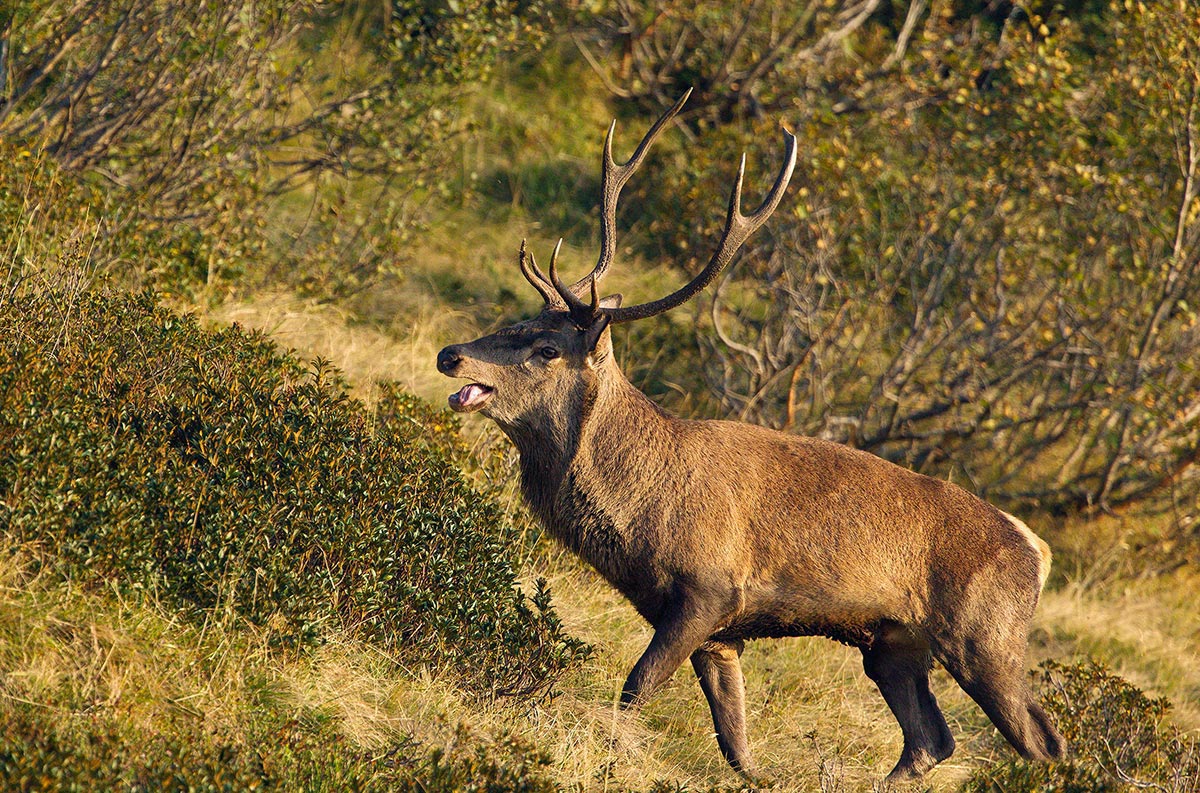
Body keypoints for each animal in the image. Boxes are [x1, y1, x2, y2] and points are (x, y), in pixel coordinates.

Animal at [435, 91, 1065, 783]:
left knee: (1043, 740)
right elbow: (735, 742)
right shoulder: (720, 633)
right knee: (931, 738)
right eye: (515, 320)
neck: (637, 510)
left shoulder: (708, 589)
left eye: (547, 347)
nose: (450, 355)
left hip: (986, 636)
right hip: (894, 645)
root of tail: (1038, 550)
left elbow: (636, 686)